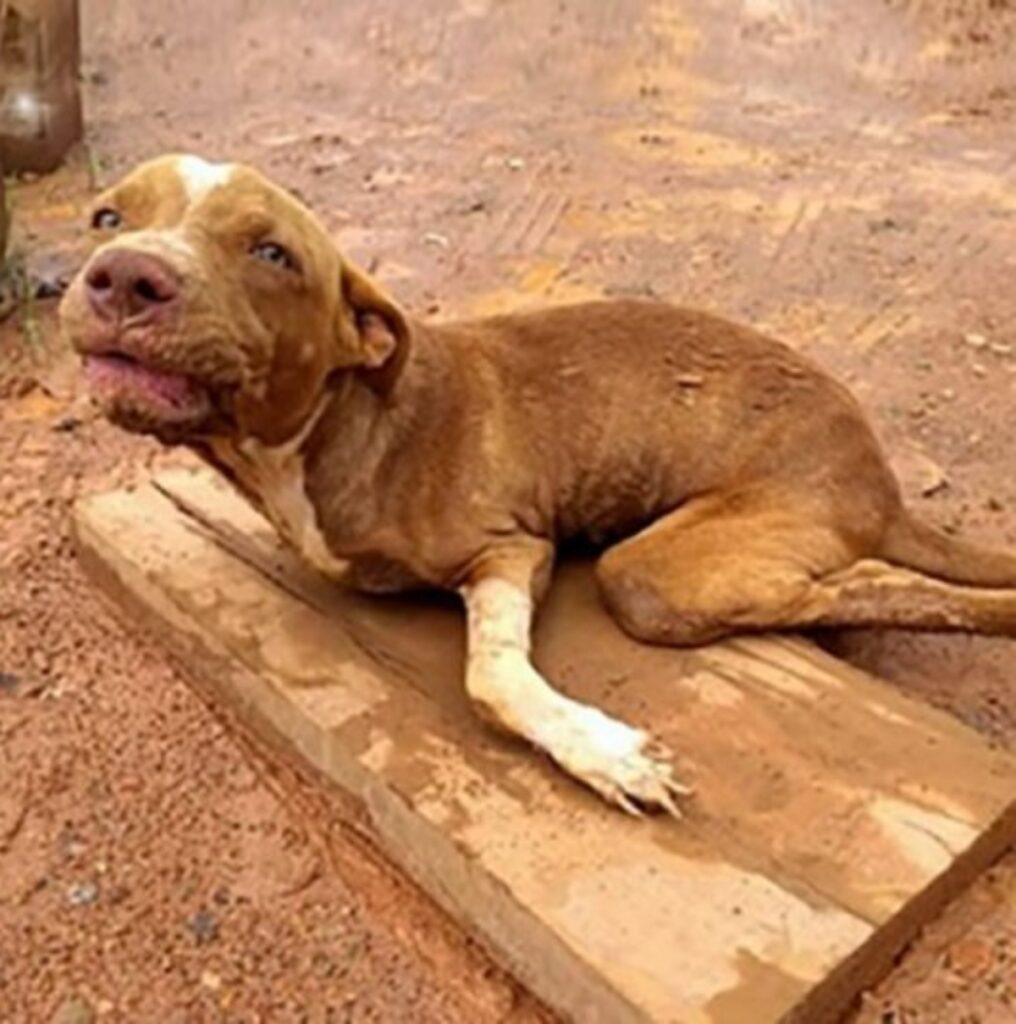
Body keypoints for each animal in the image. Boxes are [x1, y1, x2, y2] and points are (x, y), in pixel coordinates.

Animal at [57, 153, 1016, 815]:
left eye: (271, 252)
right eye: (106, 215)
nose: (126, 276)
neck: (327, 430)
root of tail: (877, 474)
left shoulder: (513, 550)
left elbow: (493, 677)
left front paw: (603, 752)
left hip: (659, 575)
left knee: (872, 581)